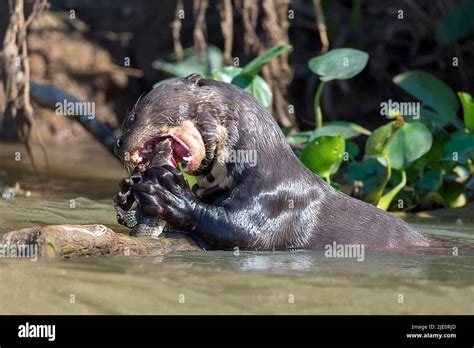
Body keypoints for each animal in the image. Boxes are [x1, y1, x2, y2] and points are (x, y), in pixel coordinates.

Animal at [114, 73, 430, 250]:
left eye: (131, 117)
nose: (118, 142)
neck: (261, 167)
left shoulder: (277, 200)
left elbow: (243, 232)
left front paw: (168, 193)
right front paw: (128, 191)